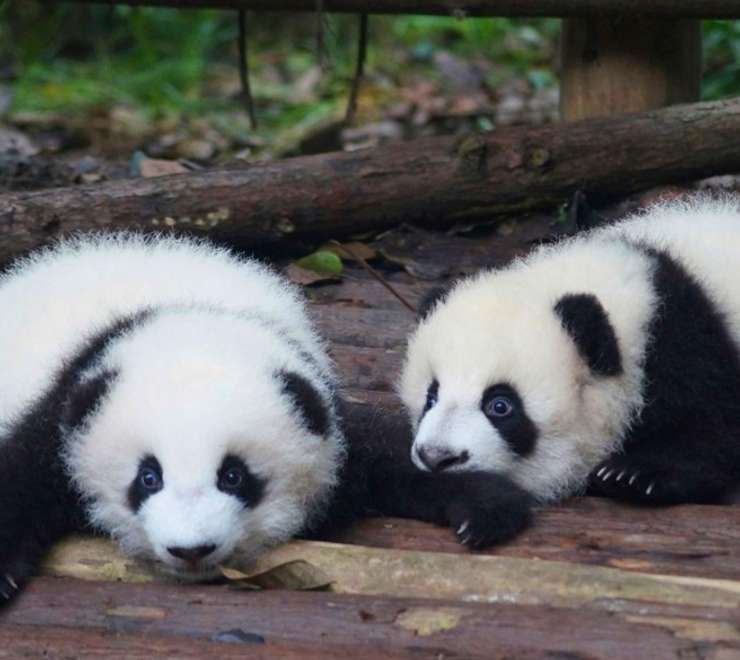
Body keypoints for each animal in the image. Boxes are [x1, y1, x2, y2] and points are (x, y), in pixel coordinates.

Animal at [0, 233, 530, 605]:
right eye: (148, 478)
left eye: (234, 476)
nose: (191, 550)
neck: (189, 317)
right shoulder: (61, 410)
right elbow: (20, 480)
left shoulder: (320, 407)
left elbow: (387, 453)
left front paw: (485, 506)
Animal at [401, 196, 740, 539]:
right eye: (431, 397)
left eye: (500, 405)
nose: (437, 457)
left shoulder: (686, 343)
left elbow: (711, 427)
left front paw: (634, 474)